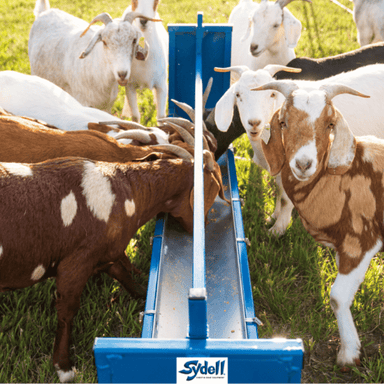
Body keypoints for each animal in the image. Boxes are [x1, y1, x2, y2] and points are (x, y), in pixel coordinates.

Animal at [216, 63, 384, 236]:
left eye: (272, 95)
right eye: (237, 95)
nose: (254, 123)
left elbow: (285, 199)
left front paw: (278, 229)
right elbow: (279, 191)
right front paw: (274, 216)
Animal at [252, 79, 384, 370]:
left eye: (330, 124)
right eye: (283, 122)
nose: (303, 164)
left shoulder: (360, 241)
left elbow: (337, 297)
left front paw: (349, 354)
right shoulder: (342, 249)